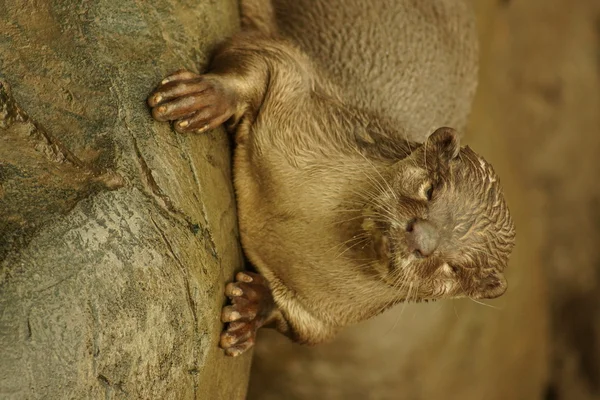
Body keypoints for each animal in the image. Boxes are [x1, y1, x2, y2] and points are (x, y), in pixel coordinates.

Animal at [145, 0, 516, 356]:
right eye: (431, 189)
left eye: (455, 267)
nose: (421, 239)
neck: (293, 229)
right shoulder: (301, 86)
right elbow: (258, 54)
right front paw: (205, 97)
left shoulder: (328, 318)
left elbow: (301, 329)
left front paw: (252, 308)